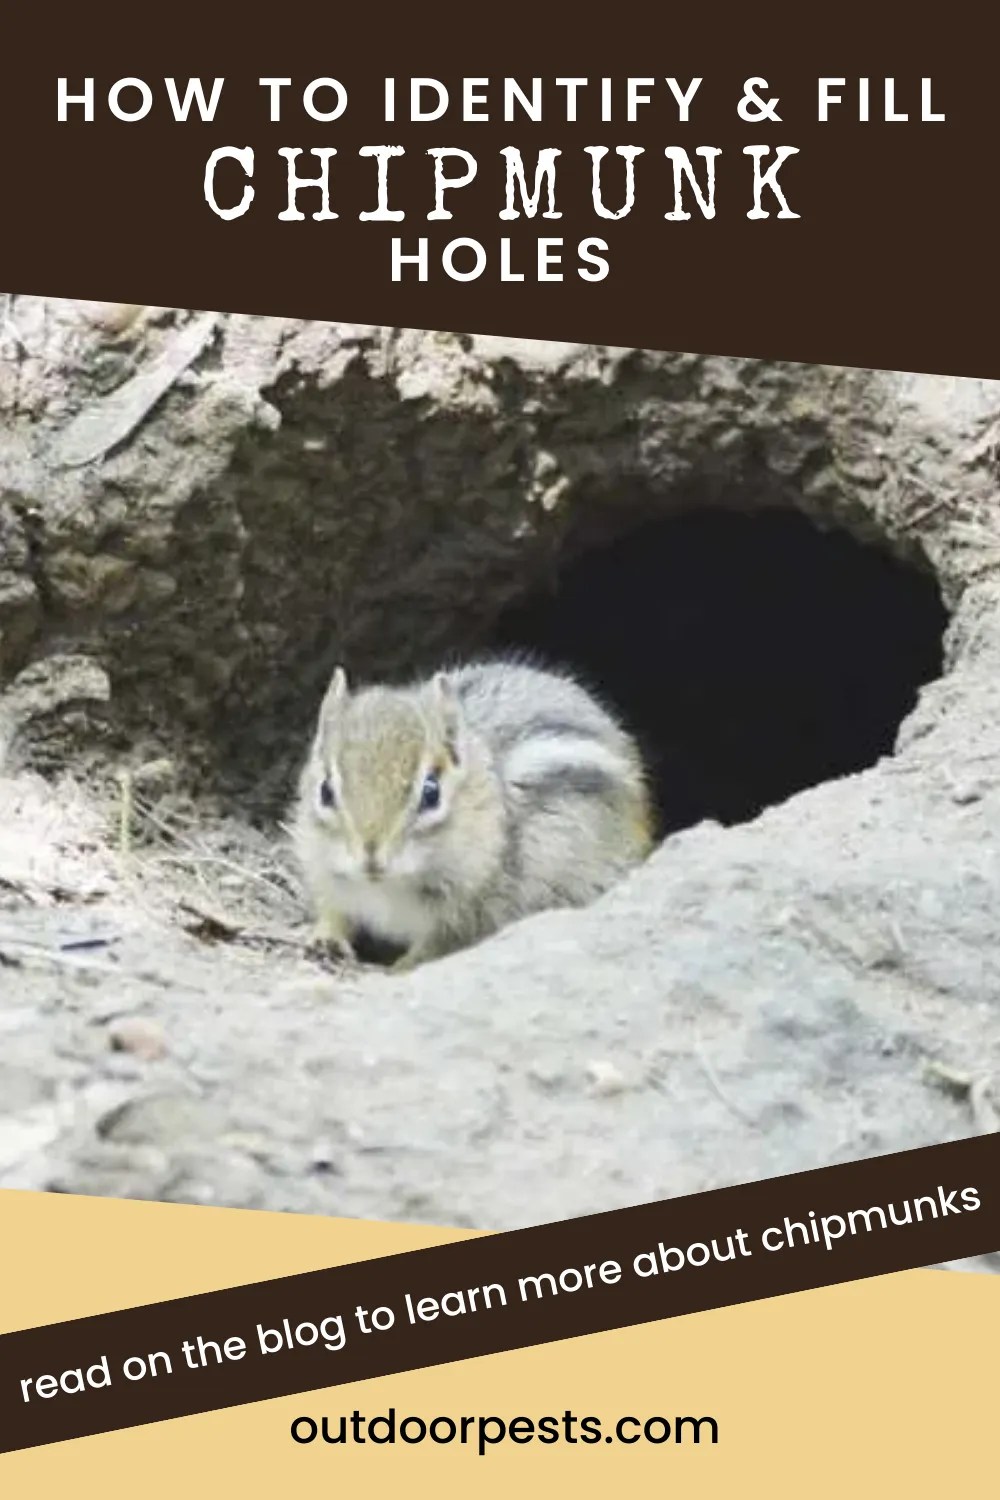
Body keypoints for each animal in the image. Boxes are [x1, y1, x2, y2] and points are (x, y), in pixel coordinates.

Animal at [290, 657, 655, 971]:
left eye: (432, 794)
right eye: (325, 791)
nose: (371, 859)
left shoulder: (465, 912)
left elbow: (435, 944)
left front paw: (402, 966)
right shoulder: (326, 874)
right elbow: (335, 912)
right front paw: (325, 938)